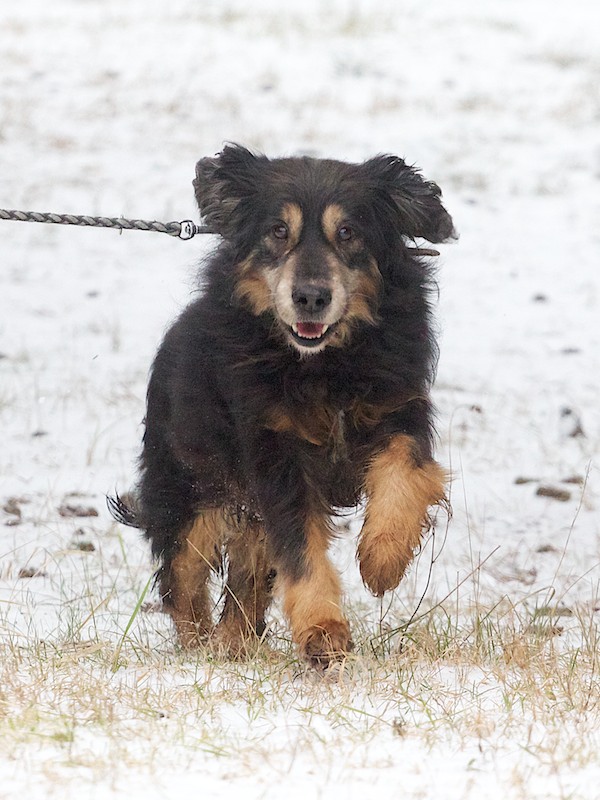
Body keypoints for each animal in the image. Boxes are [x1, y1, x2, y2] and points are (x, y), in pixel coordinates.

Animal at [110, 144, 455, 666]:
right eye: (277, 230)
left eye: (348, 232)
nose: (311, 297)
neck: (324, 365)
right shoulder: (274, 449)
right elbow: (299, 545)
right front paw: (323, 632)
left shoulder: (399, 409)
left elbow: (404, 470)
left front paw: (382, 560)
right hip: (193, 485)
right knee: (182, 574)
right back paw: (201, 646)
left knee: (247, 576)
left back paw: (233, 641)